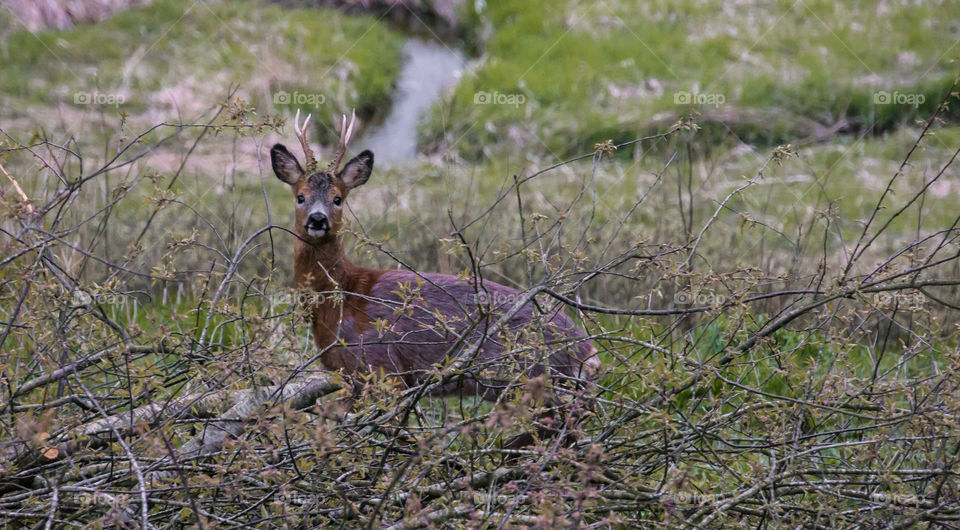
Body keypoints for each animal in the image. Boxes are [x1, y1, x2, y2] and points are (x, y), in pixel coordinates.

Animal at [270, 108, 600, 434]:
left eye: (338, 198)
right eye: (300, 196)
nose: (317, 219)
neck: (341, 299)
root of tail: (589, 352)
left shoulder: (381, 366)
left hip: (537, 379)